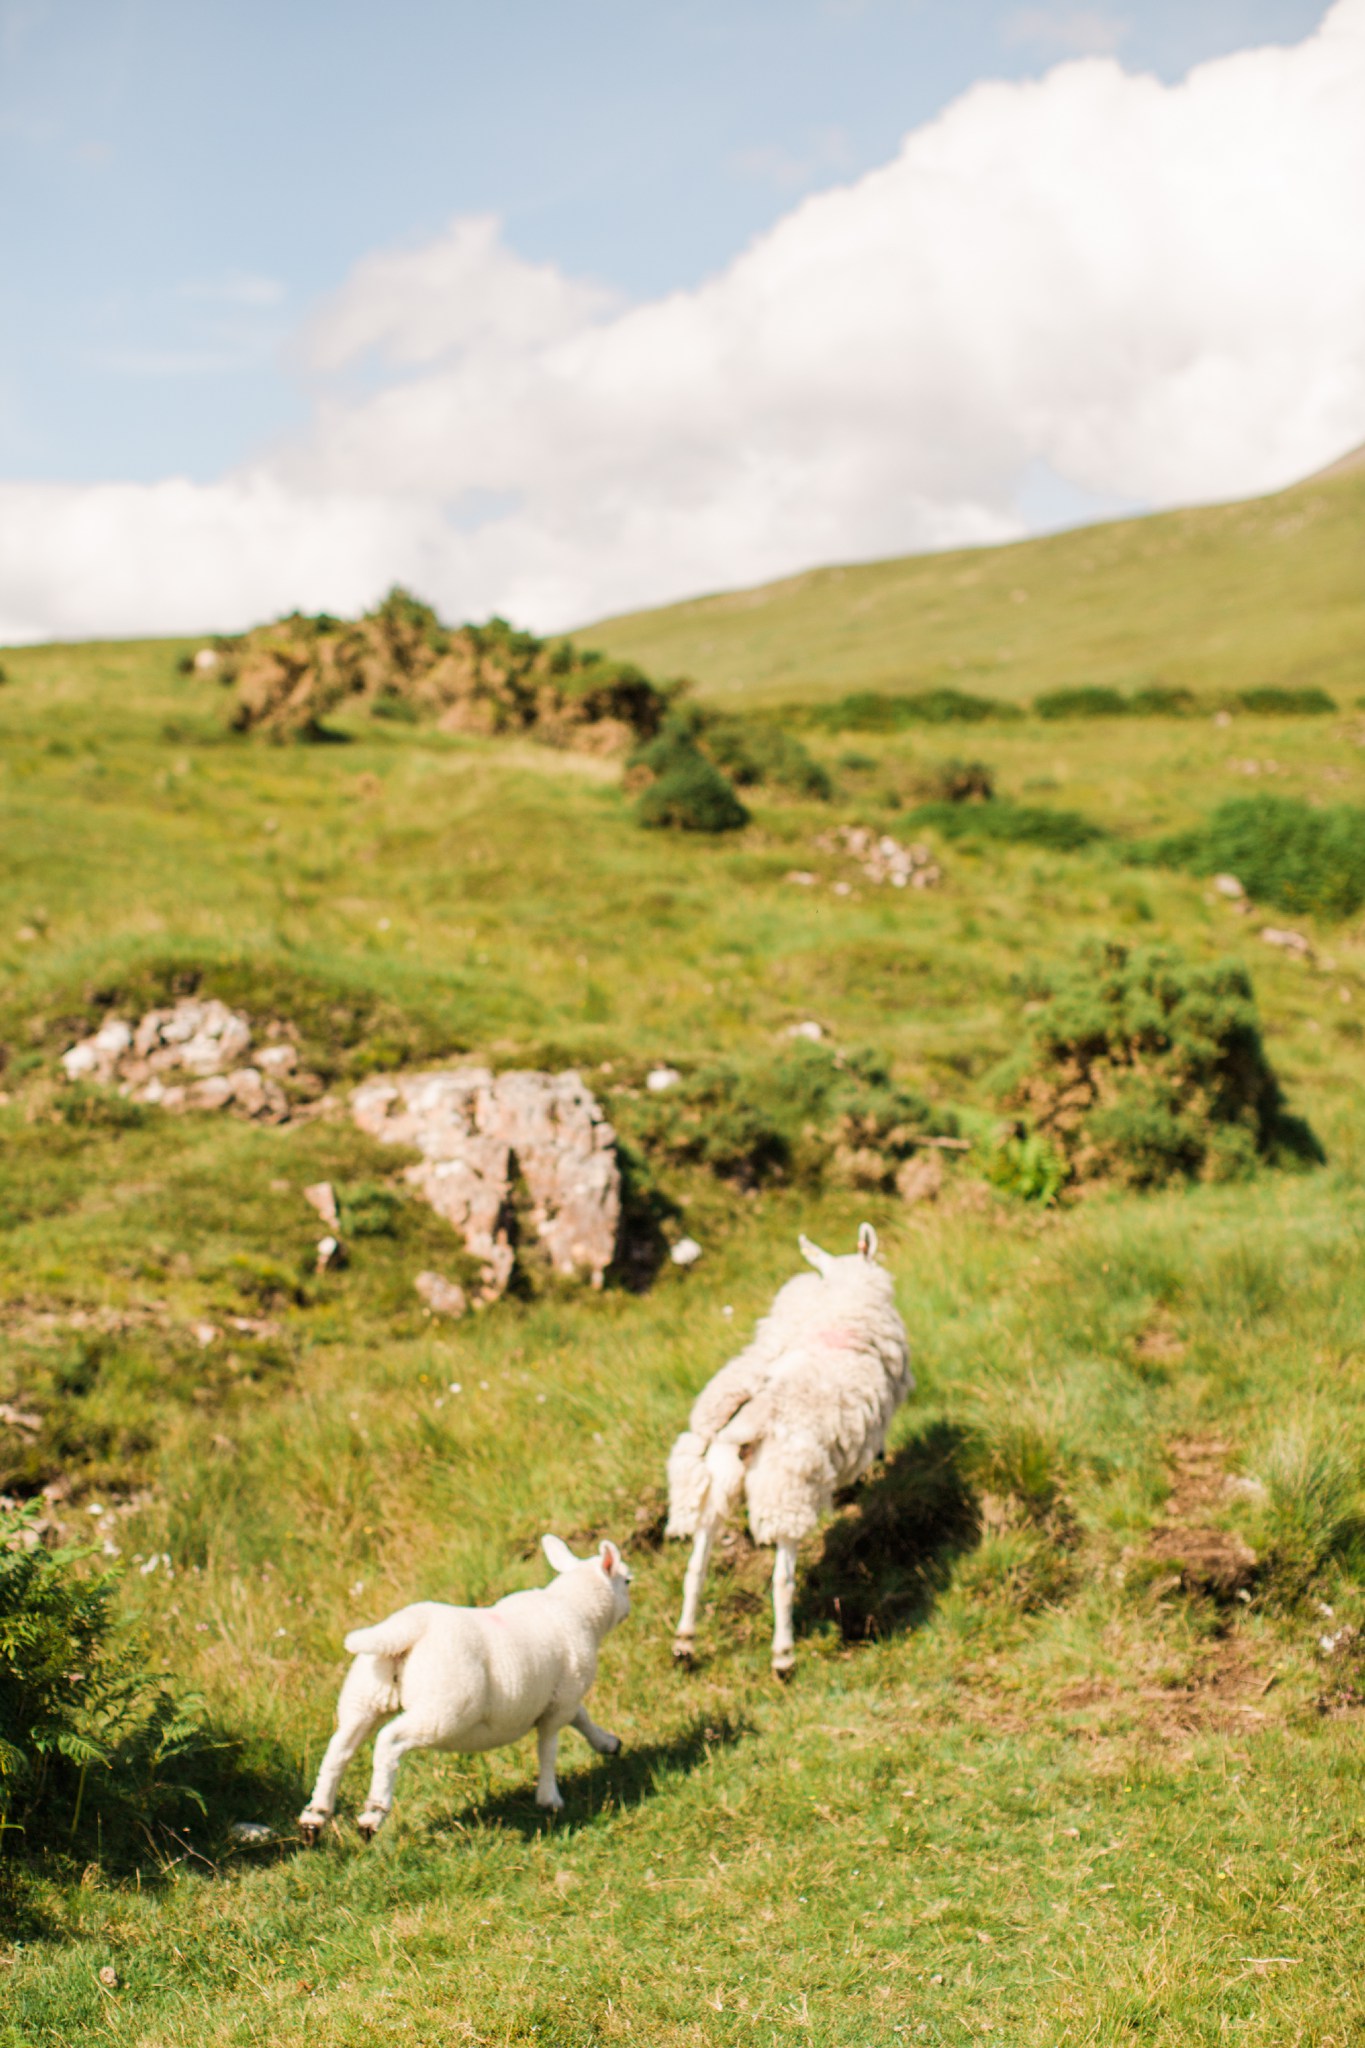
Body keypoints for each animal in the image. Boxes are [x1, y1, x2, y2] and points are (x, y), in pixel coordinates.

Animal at [298, 1540, 630, 1843]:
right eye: (627, 1580)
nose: (628, 1609)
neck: (576, 1609)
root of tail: (411, 1627)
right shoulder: (562, 1699)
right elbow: (548, 1748)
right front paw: (550, 1798)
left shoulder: (560, 1699)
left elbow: (581, 1718)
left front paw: (608, 1743)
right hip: (442, 1711)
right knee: (389, 1742)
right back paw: (373, 1813)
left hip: (366, 1697)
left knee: (338, 1750)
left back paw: (315, 1816)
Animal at [667, 1220, 912, 1671]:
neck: (841, 1313)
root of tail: (743, 1419)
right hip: (784, 1491)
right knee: (782, 1579)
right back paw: (783, 1654)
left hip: (717, 1483)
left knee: (696, 1567)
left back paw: (684, 1641)